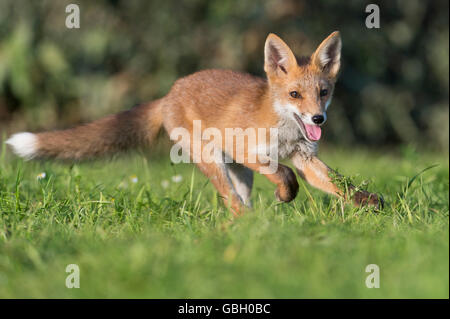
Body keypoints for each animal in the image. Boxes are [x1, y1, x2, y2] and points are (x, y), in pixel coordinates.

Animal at [5, 31, 382, 215]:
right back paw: (251, 224)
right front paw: (286, 193)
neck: (285, 132)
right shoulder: (251, 152)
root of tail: (171, 91)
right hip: (214, 160)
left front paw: (370, 203)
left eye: (323, 92)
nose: (318, 118)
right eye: (294, 95)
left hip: (237, 172)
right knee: (232, 202)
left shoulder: (305, 156)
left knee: (238, 202)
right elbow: (285, 174)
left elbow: (339, 184)